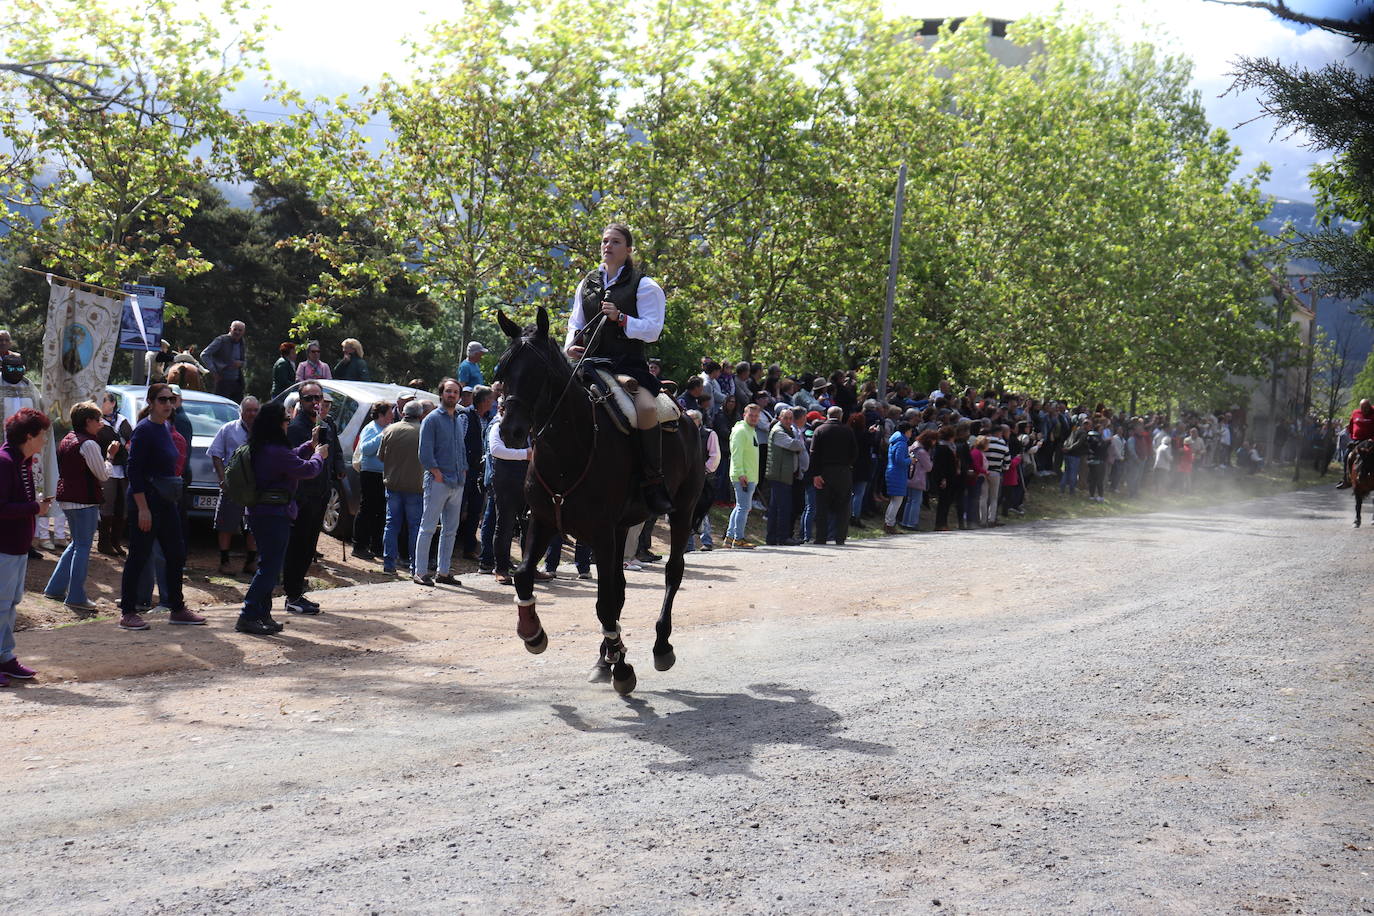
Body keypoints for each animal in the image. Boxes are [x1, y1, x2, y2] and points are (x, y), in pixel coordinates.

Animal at [494, 307, 708, 694]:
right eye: (503, 372)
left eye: (537, 373)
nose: (510, 432)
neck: (568, 450)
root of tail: (686, 416)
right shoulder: (545, 521)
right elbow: (523, 575)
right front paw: (533, 633)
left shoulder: (601, 533)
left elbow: (605, 604)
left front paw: (622, 667)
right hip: (622, 528)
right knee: (620, 587)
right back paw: (604, 657)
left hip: (682, 512)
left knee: (672, 572)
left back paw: (660, 646)